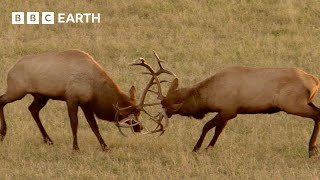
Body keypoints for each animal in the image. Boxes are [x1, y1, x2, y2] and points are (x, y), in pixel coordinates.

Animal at [0, 48, 168, 150]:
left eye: (138, 114)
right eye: (128, 115)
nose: (139, 128)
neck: (95, 88)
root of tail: (11, 70)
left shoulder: (86, 103)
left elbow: (94, 125)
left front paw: (105, 146)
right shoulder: (72, 98)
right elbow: (74, 124)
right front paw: (75, 147)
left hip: (42, 96)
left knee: (32, 109)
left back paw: (48, 140)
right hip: (17, 90)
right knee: (2, 100)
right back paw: (3, 133)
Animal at [136, 53, 320, 158]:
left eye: (166, 105)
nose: (163, 115)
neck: (209, 98)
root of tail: (314, 81)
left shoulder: (229, 109)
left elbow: (207, 126)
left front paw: (196, 148)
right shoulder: (228, 112)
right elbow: (218, 129)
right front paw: (209, 148)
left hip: (292, 104)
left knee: (317, 115)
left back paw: (311, 149)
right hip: (305, 102)